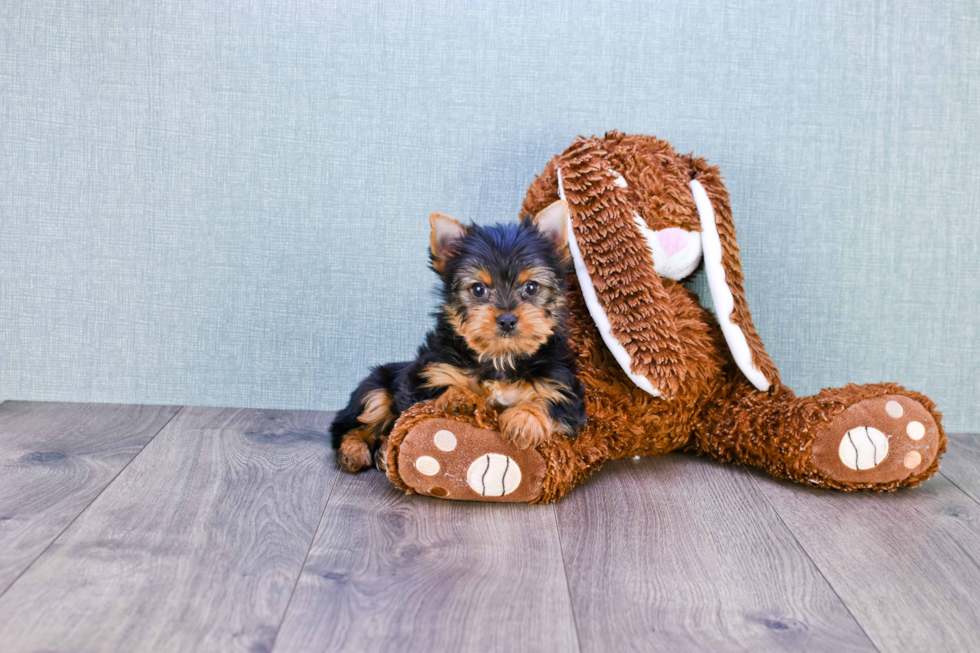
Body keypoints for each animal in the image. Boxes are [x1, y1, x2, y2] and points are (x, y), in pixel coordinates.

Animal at [330, 201, 588, 472]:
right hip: (375, 387)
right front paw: (461, 397)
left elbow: (550, 402)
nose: (507, 319)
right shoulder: (425, 376)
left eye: (531, 287)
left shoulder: (564, 389)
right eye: (478, 289)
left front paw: (524, 420)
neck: (500, 358)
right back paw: (354, 450)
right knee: (351, 423)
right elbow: (437, 389)